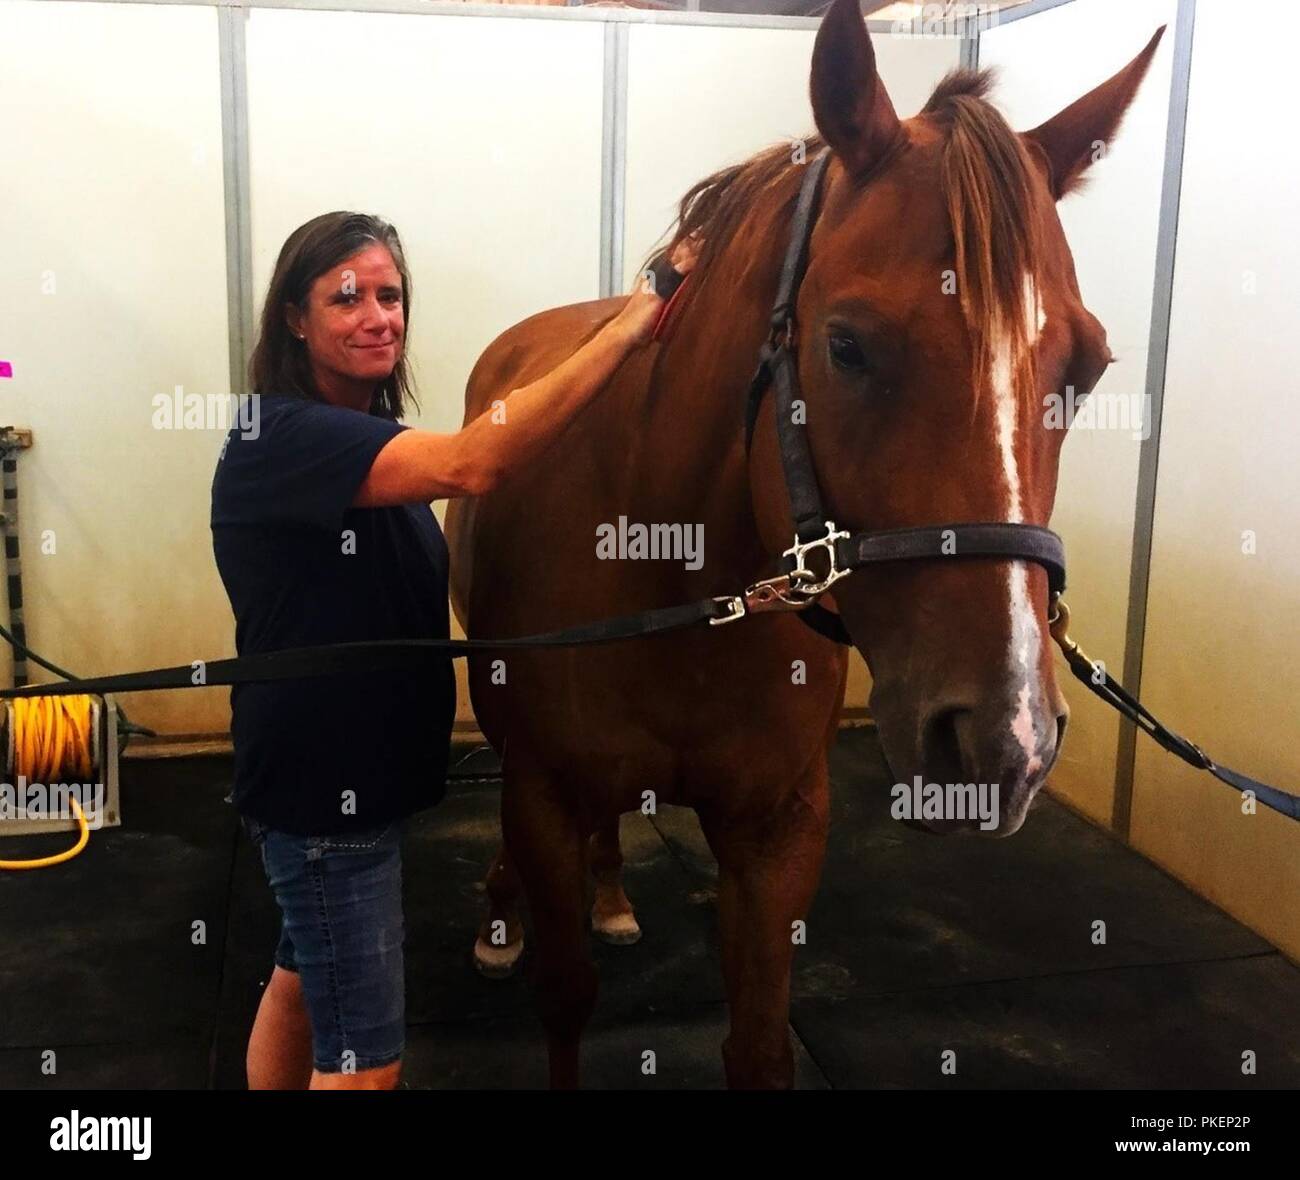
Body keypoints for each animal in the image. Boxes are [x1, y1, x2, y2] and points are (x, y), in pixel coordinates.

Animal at [449, 0, 1170, 1086]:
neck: (675, 574)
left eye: (1084, 369)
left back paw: (612, 896)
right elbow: (566, 999)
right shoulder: (541, 792)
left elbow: (758, 1038)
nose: (1005, 739)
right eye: (846, 344)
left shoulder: (779, 826)